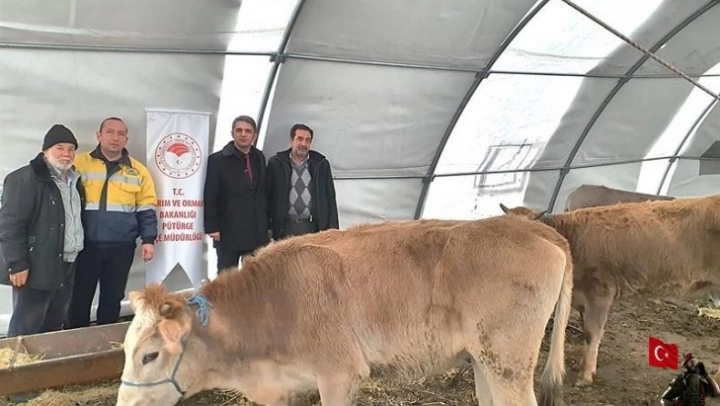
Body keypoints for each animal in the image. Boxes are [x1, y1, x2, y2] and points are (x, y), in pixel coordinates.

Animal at [116, 216, 573, 406]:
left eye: (150, 355)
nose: (126, 405)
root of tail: (533, 227)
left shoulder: (340, 374)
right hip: (484, 360)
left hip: (508, 361)